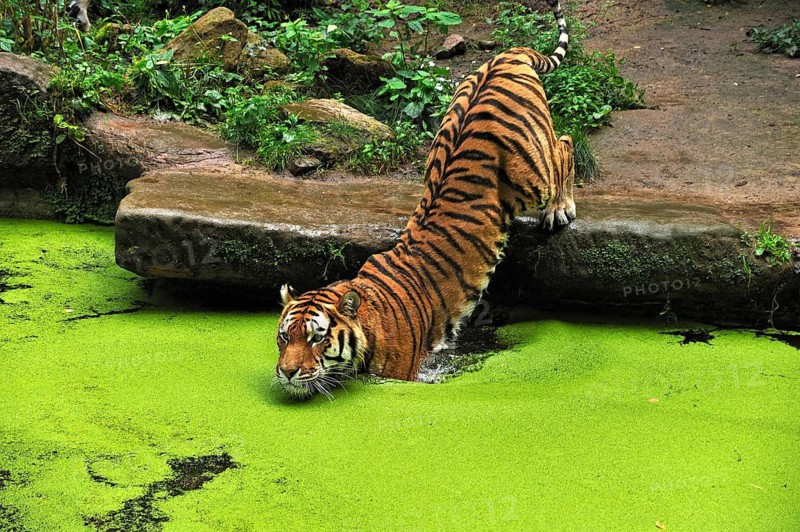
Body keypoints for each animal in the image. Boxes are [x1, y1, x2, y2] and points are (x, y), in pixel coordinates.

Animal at [276, 0, 575, 399]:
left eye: (316, 338)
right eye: (283, 338)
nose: (286, 373)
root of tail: (505, 56)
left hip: (533, 173)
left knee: (566, 145)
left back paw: (561, 208)